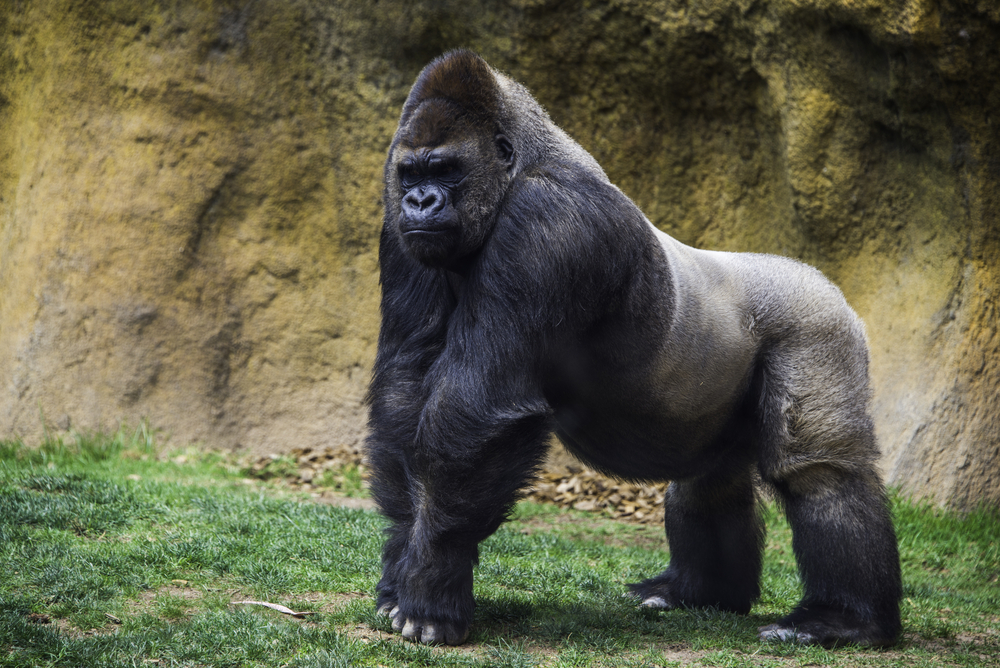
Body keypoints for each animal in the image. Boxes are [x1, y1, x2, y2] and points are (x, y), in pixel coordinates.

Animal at [368, 51, 908, 648]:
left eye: (446, 169)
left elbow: (478, 410)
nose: (419, 200)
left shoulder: (548, 222)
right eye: (411, 173)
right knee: (709, 480)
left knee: (819, 471)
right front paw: (402, 565)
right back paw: (699, 592)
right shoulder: (399, 234)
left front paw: (433, 583)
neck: (523, 164)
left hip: (816, 324)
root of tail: (821, 280)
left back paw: (844, 618)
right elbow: (405, 391)